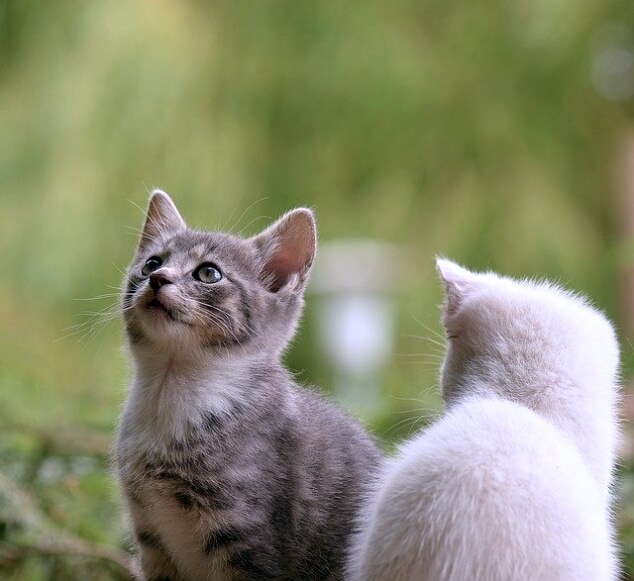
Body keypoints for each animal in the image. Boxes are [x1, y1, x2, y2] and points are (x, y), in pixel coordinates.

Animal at [115, 190, 380, 580]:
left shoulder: (247, 541)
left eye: (208, 273)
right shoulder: (152, 539)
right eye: (151, 263)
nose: (158, 278)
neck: (172, 391)